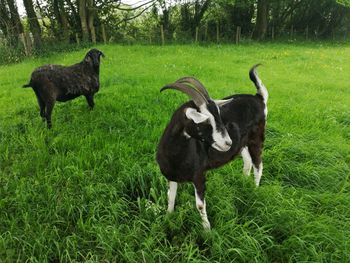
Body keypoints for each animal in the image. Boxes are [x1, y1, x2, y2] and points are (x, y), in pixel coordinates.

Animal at [156, 65, 268, 230]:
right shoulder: (171, 176)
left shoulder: (199, 177)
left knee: (258, 165)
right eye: (206, 120)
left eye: (219, 116)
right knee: (247, 161)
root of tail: (259, 98)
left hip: (256, 139)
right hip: (242, 144)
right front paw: (168, 218)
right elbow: (170, 197)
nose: (228, 143)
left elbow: (200, 205)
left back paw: (254, 190)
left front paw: (207, 230)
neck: (175, 155)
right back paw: (242, 181)